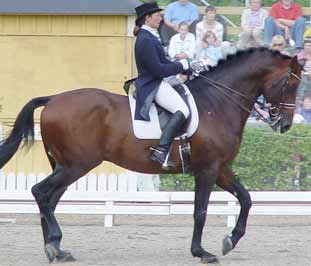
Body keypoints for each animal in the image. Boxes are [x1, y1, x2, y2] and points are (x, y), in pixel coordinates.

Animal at [0, 48, 302, 264]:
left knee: (49, 199)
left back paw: (56, 250)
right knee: (41, 193)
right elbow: (200, 212)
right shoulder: (207, 169)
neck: (217, 104)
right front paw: (202, 252)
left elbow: (246, 199)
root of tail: (53, 99)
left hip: (64, 165)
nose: (285, 124)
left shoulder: (221, 168)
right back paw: (54, 244)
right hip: (76, 165)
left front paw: (231, 240)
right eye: (290, 83)